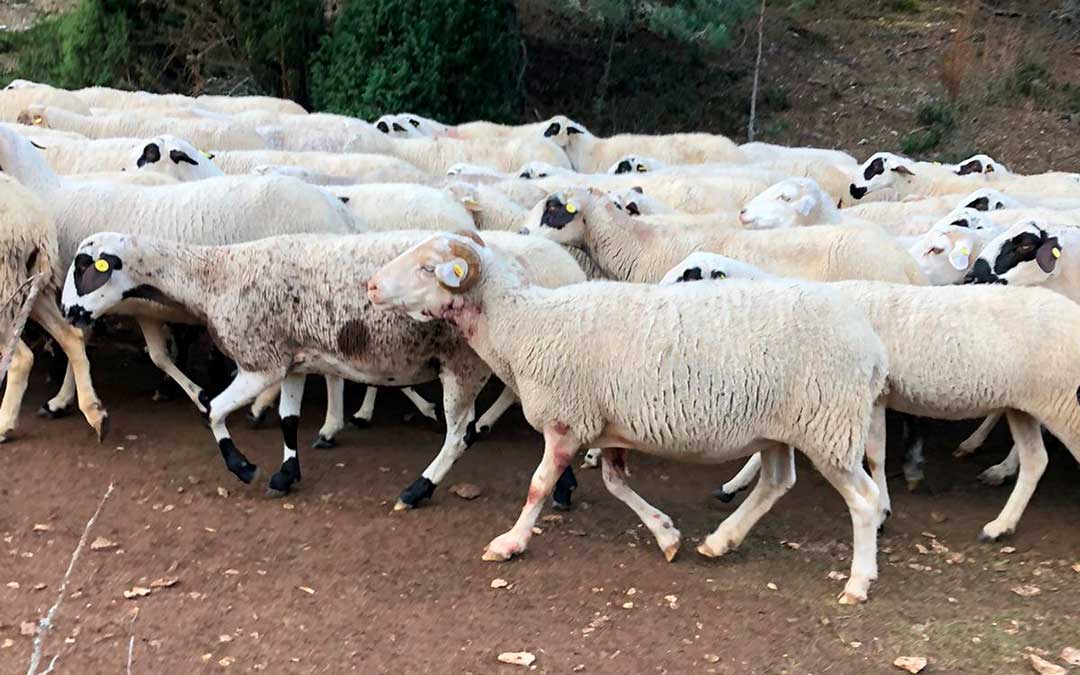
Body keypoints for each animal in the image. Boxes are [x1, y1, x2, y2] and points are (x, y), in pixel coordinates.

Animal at [0, 175, 107, 443]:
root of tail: (32, 226)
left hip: (6, 287)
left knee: (21, 359)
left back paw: (4, 425)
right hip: (34, 286)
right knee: (72, 337)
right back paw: (93, 411)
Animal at [61, 229, 585, 508]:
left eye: (87, 266)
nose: (68, 312)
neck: (215, 277)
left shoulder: (261, 362)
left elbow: (213, 410)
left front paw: (243, 467)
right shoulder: (293, 361)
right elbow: (288, 420)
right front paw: (285, 474)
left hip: (463, 364)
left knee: (459, 435)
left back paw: (417, 490)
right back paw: (564, 488)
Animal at [367, 231, 888, 604]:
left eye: (428, 268)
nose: (371, 286)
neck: (522, 326)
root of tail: (872, 346)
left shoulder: (566, 419)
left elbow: (538, 486)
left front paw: (510, 543)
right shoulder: (609, 426)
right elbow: (616, 484)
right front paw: (666, 535)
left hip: (829, 425)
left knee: (863, 500)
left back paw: (858, 583)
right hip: (780, 428)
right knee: (776, 483)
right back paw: (721, 541)